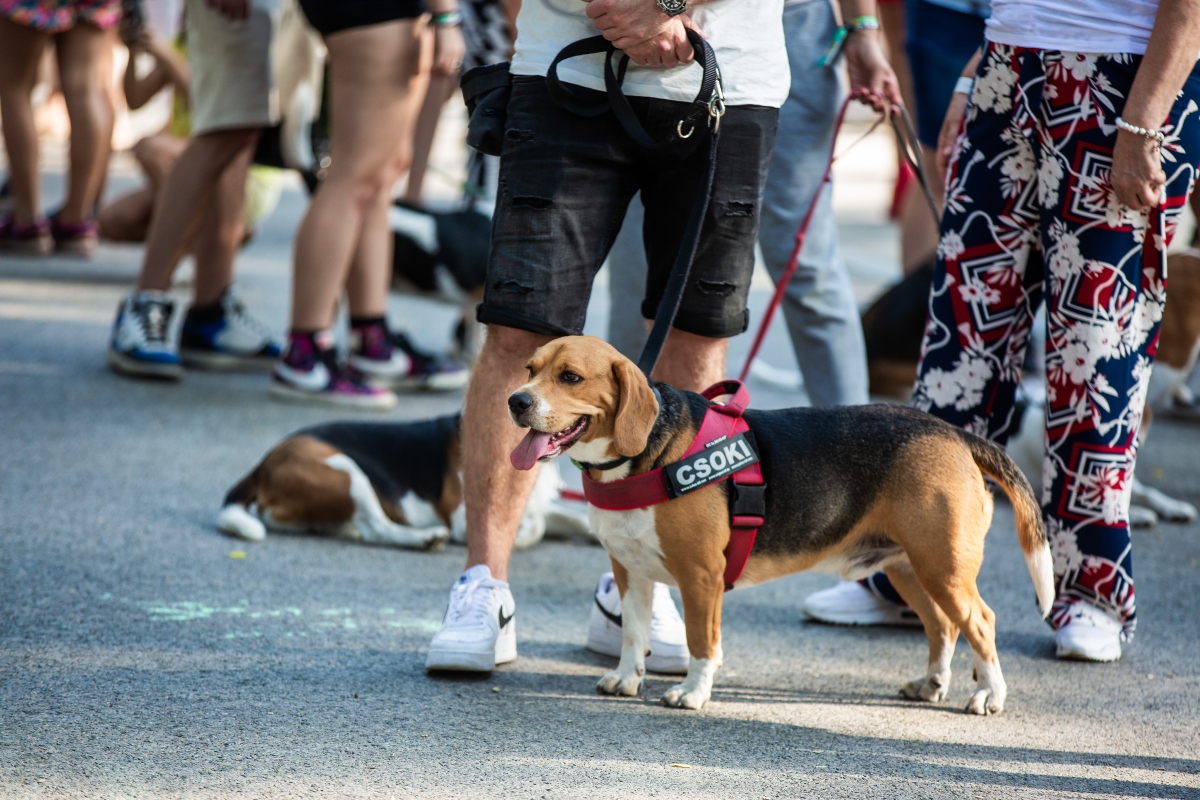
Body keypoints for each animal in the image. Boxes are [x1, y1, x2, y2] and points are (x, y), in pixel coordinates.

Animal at [216, 412, 571, 551]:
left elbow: (566, 519)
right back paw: (424, 539)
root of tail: (262, 465)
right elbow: (535, 528)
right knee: (377, 528)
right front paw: (516, 539)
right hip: (347, 472)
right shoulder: (464, 519)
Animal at [511, 335, 1056, 714]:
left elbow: (701, 642)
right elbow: (632, 632)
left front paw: (693, 693)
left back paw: (989, 695)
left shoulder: (701, 577)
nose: (517, 401)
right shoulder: (631, 570)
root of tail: (954, 434)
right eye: (530, 370)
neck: (643, 458)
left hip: (944, 568)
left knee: (980, 623)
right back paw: (932, 684)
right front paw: (627, 679)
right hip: (908, 567)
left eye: (571, 377)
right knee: (942, 625)